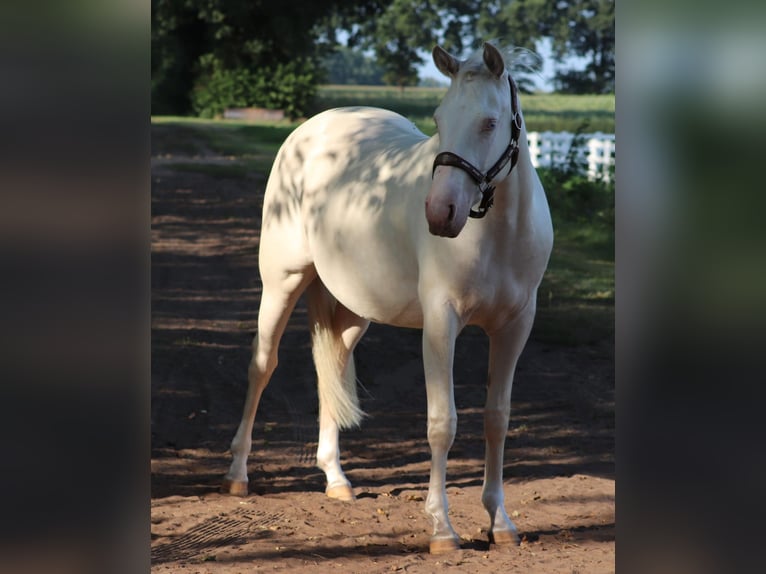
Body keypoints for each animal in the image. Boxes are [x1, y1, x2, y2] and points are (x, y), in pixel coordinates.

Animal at [222, 42, 553, 554]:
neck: (497, 233)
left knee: (332, 366)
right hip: (281, 282)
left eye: (489, 122)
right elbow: (442, 422)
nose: (440, 213)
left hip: (355, 310)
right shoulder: (441, 322)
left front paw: (499, 521)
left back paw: (336, 478)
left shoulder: (516, 326)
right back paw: (238, 474)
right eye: (438, 119)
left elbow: (497, 419)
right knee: (263, 364)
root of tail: (312, 128)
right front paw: (441, 527)